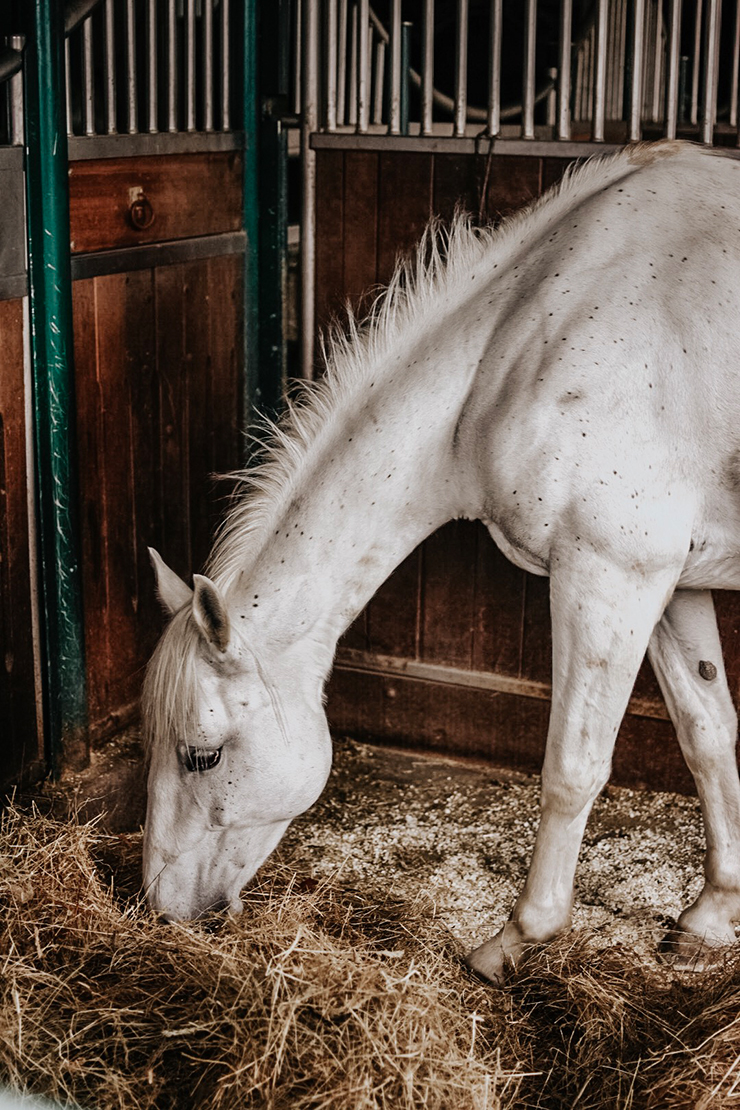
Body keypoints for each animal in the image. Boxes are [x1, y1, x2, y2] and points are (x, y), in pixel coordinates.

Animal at [143, 143, 740, 985]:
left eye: (201, 756)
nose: (160, 911)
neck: (527, 341)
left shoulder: (609, 574)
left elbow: (572, 768)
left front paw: (515, 939)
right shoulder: (669, 581)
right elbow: (707, 735)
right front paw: (713, 914)